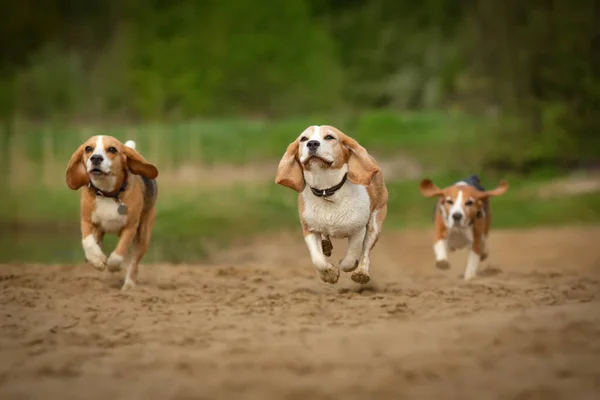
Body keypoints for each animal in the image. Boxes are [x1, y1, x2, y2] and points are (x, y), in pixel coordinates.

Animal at [66, 136, 159, 290]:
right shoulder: (86, 221)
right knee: (96, 238)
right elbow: (88, 241)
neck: (107, 193)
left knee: (134, 263)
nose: (96, 158)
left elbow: (119, 253)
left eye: (112, 149)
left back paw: (129, 285)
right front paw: (97, 259)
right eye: (88, 148)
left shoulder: (130, 227)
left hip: (143, 236)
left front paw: (114, 265)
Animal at [274, 125, 386, 284]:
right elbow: (318, 259)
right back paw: (326, 244)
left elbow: (351, 257)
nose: (312, 144)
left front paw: (347, 265)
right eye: (304, 139)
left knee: (366, 250)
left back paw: (361, 272)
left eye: (329, 137)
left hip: (375, 223)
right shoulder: (309, 229)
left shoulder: (358, 231)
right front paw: (329, 274)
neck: (326, 190)